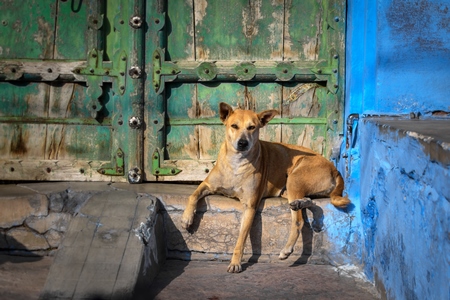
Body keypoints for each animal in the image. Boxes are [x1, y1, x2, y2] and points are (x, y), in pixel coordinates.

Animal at [181, 102, 350, 274]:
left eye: (252, 127)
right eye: (234, 126)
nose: (242, 143)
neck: (237, 163)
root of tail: (334, 168)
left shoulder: (250, 206)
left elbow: (241, 239)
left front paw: (235, 262)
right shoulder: (207, 184)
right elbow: (192, 195)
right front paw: (187, 218)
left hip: (294, 179)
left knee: (299, 221)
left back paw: (287, 249)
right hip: (288, 190)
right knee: (312, 203)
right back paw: (300, 203)